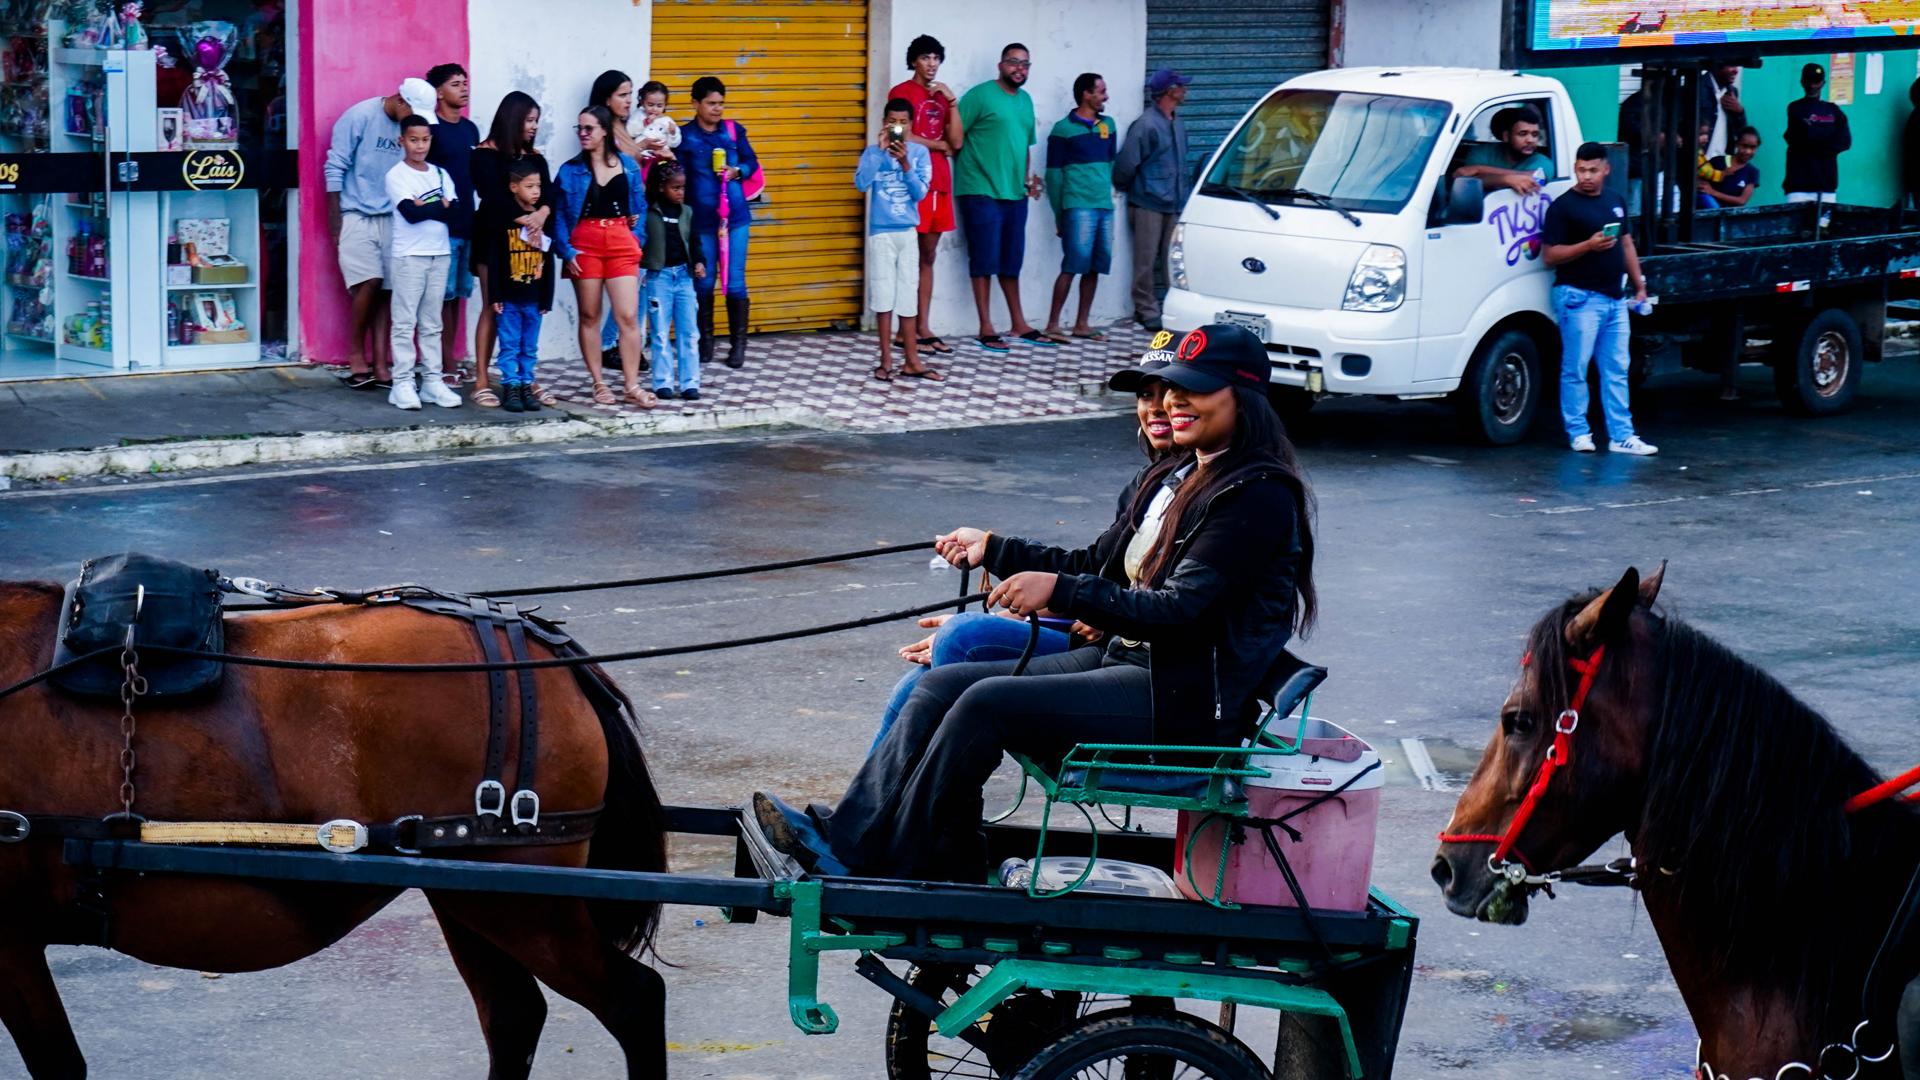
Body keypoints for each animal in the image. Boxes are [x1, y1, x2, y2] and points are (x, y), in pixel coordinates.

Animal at [0, 580, 671, 1079]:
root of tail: (541, 646)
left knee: (634, 1002)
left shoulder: (11, 943)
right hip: (474, 896)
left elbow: (58, 1063)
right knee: (512, 1017)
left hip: (527, 906)